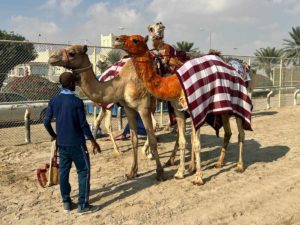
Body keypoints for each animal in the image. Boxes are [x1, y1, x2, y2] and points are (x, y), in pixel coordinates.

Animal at [48, 45, 164, 181]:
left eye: (72, 53)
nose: (51, 58)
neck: (123, 83)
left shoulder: (143, 107)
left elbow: (152, 138)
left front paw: (159, 172)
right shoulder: (129, 108)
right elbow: (134, 139)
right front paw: (132, 172)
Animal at [115, 34, 253, 185]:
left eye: (135, 40)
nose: (117, 39)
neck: (173, 83)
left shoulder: (196, 109)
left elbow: (196, 142)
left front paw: (198, 177)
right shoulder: (179, 110)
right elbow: (182, 141)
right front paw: (180, 173)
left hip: (238, 102)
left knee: (241, 133)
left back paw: (239, 166)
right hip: (223, 108)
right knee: (228, 132)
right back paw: (218, 163)